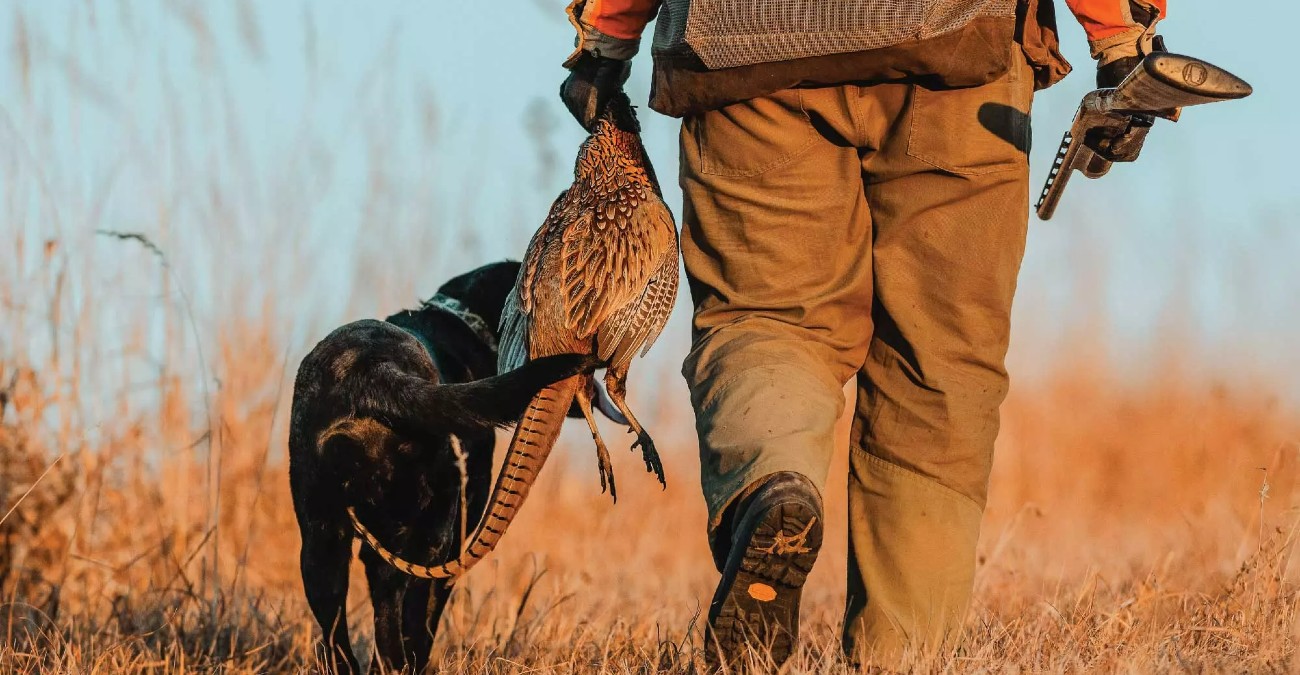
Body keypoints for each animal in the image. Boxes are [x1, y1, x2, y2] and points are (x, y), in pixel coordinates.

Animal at [287, 261, 595, 671]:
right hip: (425, 536)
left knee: (341, 637)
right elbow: (423, 620)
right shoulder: (453, 541)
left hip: (321, 543)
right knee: (397, 623)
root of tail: (372, 371)